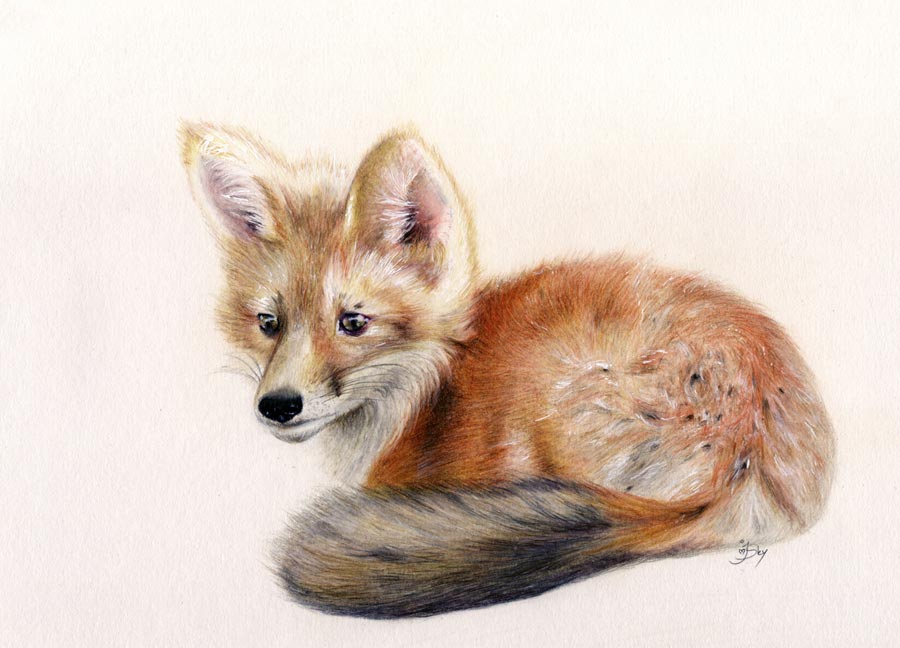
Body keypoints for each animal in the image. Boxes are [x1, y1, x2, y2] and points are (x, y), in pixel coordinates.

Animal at [180, 122, 834, 618]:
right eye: (268, 322)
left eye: (353, 322)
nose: (278, 405)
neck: (428, 391)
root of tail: (746, 456)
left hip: (552, 400)